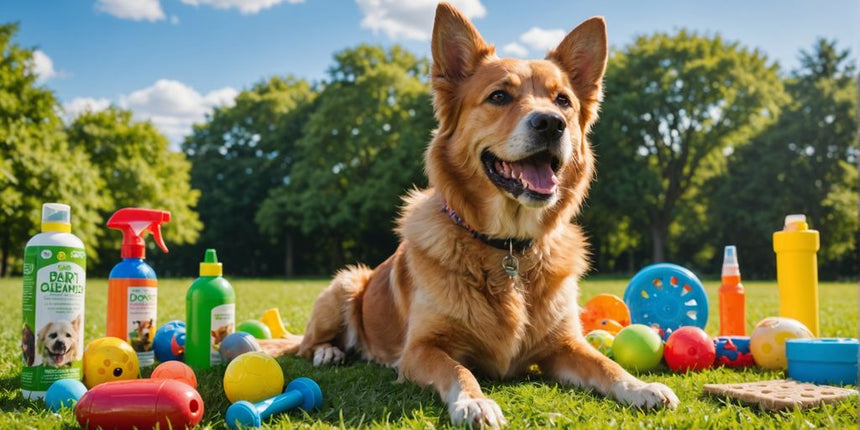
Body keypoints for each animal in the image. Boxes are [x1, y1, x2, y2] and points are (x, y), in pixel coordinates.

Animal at [262, 3, 680, 426]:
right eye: (499, 96)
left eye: (563, 101)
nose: (551, 123)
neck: (507, 247)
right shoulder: (420, 349)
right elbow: (457, 369)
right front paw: (474, 401)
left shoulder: (563, 345)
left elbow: (605, 365)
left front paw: (641, 387)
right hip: (346, 282)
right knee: (306, 344)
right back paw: (328, 351)